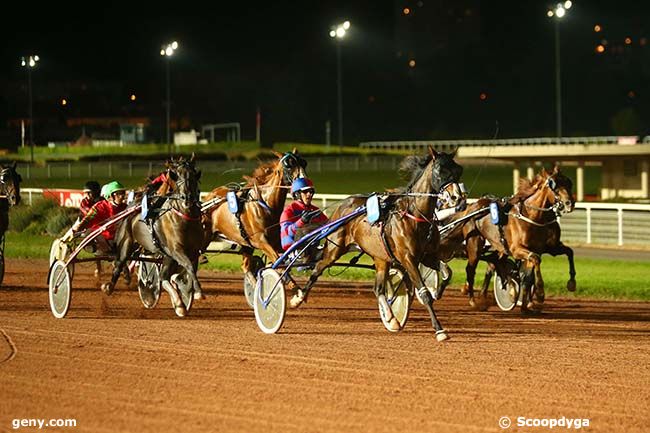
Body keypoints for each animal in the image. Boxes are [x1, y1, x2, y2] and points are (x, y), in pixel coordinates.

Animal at [108, 154, 202, 316]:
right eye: (175, 175)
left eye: (193, 174)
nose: (188, 198)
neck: (185, 217)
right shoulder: (176, 250)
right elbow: (188, 266)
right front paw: (197, 292)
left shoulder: (192, 251)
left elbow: (188, 270)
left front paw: (185, 290)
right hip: (126, 243)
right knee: (119, 262)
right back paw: (109, 286)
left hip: (166, 255)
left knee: (164, 277)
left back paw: (179, 304)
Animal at [200, 150, 306, 288]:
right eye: (289, 165)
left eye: (304, 163)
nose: (303, 187)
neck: (265, 204)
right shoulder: (261, 241)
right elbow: (278, 261)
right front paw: (292, 287)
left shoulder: (275, 241)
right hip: (205, 236)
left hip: (244, 242)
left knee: (245, 266)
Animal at [292, 147, 464, 342]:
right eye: (439, 170)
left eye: (458, 170)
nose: (456, 198)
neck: (415, 216)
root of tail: (343, 205)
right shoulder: (408, 259)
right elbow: (424, 293)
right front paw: (439, 330)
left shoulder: (427, 256)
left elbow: (447, 272)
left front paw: (438, 291)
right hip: (335, 248)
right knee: (318, 268)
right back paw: (298, 298)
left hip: (380, 258)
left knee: (378, 289)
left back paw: (391, 319)